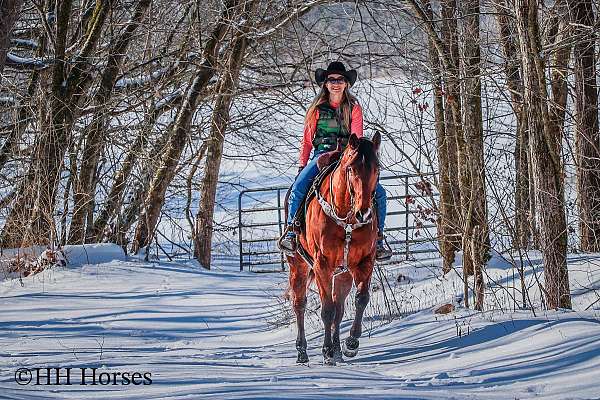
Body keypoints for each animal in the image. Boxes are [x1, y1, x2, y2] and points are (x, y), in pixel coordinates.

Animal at [286, 132, 380, 366]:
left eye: (377, 168)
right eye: (351, 168)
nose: (364, 213)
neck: (346, 217)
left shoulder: (365, 261)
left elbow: (360, 299)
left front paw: (351, 344)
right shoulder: (322, 266)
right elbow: (326, 309)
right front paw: (327, 351)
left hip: (343, 273)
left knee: (339, 307)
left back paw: (338, 349)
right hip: (298, 266)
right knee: (299, 304)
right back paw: (302, 352)